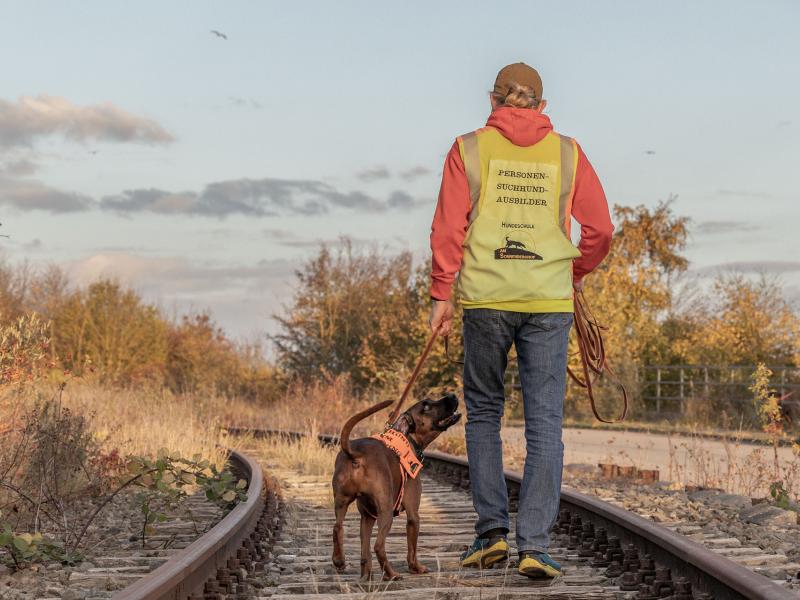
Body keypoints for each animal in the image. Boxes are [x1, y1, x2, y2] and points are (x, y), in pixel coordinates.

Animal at [330, 394, 456, 580]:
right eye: (426, 406)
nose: (453, 396)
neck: (409, 439)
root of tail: (355, 453)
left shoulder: (367, 517)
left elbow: (364, 552)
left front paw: (366, 574)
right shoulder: (413, 515)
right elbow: (412, 549)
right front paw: (416, 568)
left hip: (342, 502)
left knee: (338, 528)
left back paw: (341, 562)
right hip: (386, 512)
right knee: (378, 546)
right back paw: (391, 574)